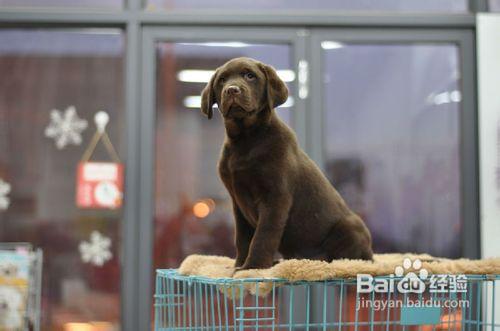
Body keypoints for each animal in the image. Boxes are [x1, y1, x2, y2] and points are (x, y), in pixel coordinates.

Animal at [200, 57, 372, 272]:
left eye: (250, 76)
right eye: (222, 80)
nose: (232, 90)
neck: (246, 139)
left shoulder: (275, 197)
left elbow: (263, 236)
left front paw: (253, 267)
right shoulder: (237, 202)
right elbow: (242, 238)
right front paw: (238, 266)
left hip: (350, 226)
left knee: (348, 257)